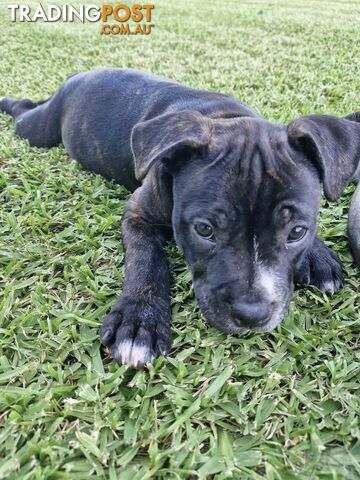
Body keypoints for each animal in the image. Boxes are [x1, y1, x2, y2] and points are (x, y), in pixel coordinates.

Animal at [0, 68, 360, 368]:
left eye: (297, 231)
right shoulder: (138, 214)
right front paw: (140, 320)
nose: (251, 314)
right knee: (25, 112)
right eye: (204, 229)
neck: (224, 117)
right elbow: (146, 259)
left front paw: (317, 256)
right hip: (39, 130)